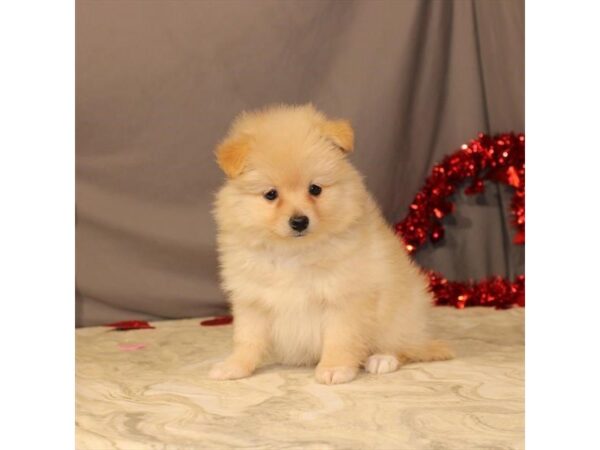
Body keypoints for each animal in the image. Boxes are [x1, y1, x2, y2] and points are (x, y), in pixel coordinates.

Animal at [210, 104, 450, 384]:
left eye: (315, 189)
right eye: (271, 194)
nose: (299, 221)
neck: (293, 253)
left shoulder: (344, 297)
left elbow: (340, 338)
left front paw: (335, 368)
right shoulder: (252, 300)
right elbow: (247, 339)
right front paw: (234, 366)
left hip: (399, 314)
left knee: (405, 346)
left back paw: (383, 359)